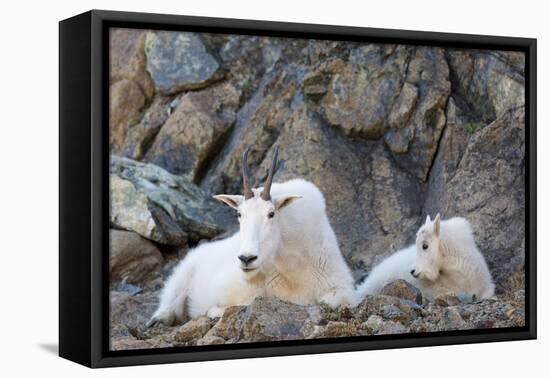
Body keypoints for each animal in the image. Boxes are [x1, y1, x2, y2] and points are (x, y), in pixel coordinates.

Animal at [149, 146, 356, 326]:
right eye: (239, 214)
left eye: (271, 214)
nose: (246, 259)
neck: (295, 271)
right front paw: (214, 311)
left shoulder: (341, 286)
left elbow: (333, 300)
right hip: (184, 274)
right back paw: (160, 319)